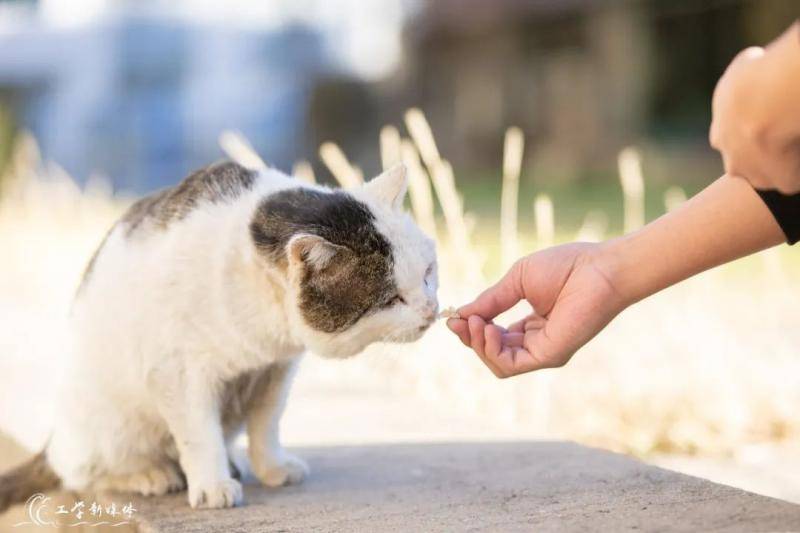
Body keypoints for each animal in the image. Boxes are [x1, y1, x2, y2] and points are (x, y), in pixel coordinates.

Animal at [0, 160, 438, 510]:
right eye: (391, 299)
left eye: (428, 273)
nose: (432, 310)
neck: (266, 327)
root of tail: (55, 438)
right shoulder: (177, 372)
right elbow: (198, 435)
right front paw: (211, 485)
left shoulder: (275, 370)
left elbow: (266, 424)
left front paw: (271, 467)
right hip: (107, 422)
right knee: (83, 470)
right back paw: (150, 474)